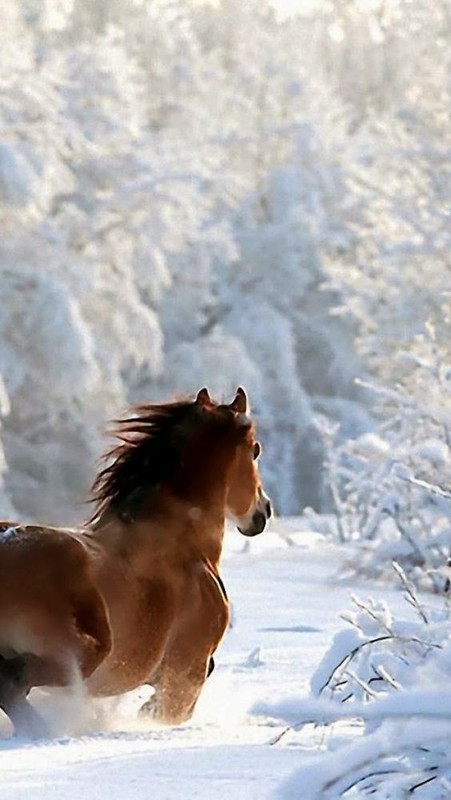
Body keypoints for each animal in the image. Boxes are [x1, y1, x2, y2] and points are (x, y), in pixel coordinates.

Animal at [0, 388, 272, 736]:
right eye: (255, 450)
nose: (263, 512)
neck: (184, 544)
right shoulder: (188, 669)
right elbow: (172, 712)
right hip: (83, 654)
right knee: (12, 681)